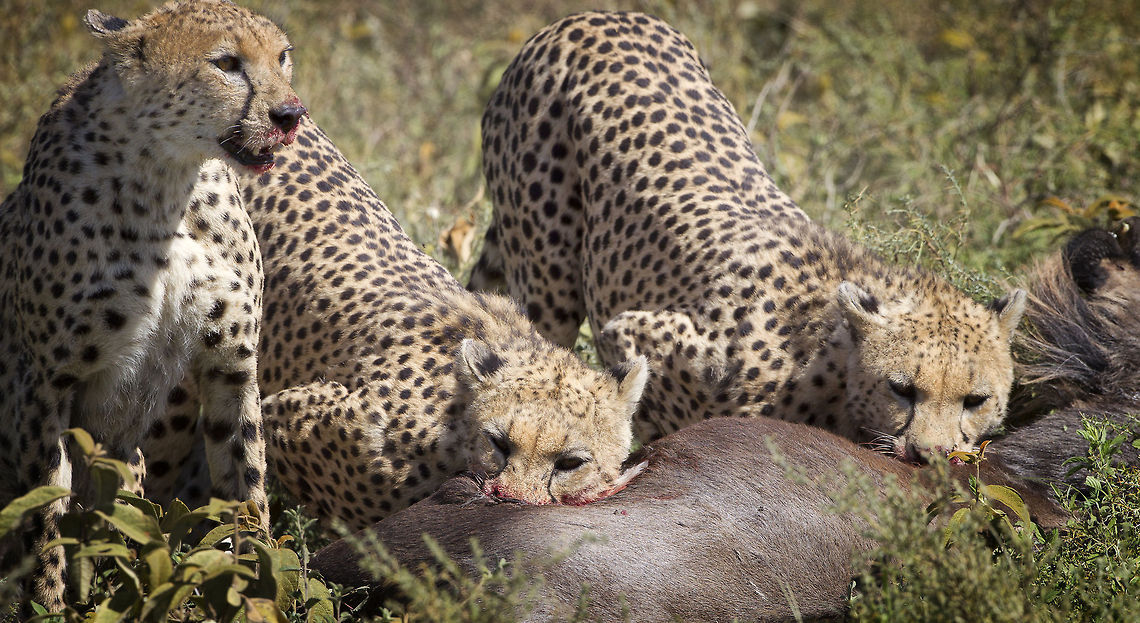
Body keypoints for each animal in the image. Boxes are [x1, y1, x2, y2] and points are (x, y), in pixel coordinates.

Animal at [0, 0, 304, 609]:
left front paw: (259, 591)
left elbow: (247, 487)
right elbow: (46, 511)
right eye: (226, 63)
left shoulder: (231, 365)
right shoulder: (43, 382)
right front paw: (48, 607)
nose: (290, 115)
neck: (169, 182)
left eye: (282, 57)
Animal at [469, 10, 1028, 460]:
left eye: (975, 400)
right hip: (549, 287)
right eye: (902, 389)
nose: (931, 454)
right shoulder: (630, 331)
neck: (825, 358)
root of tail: (590, 17)